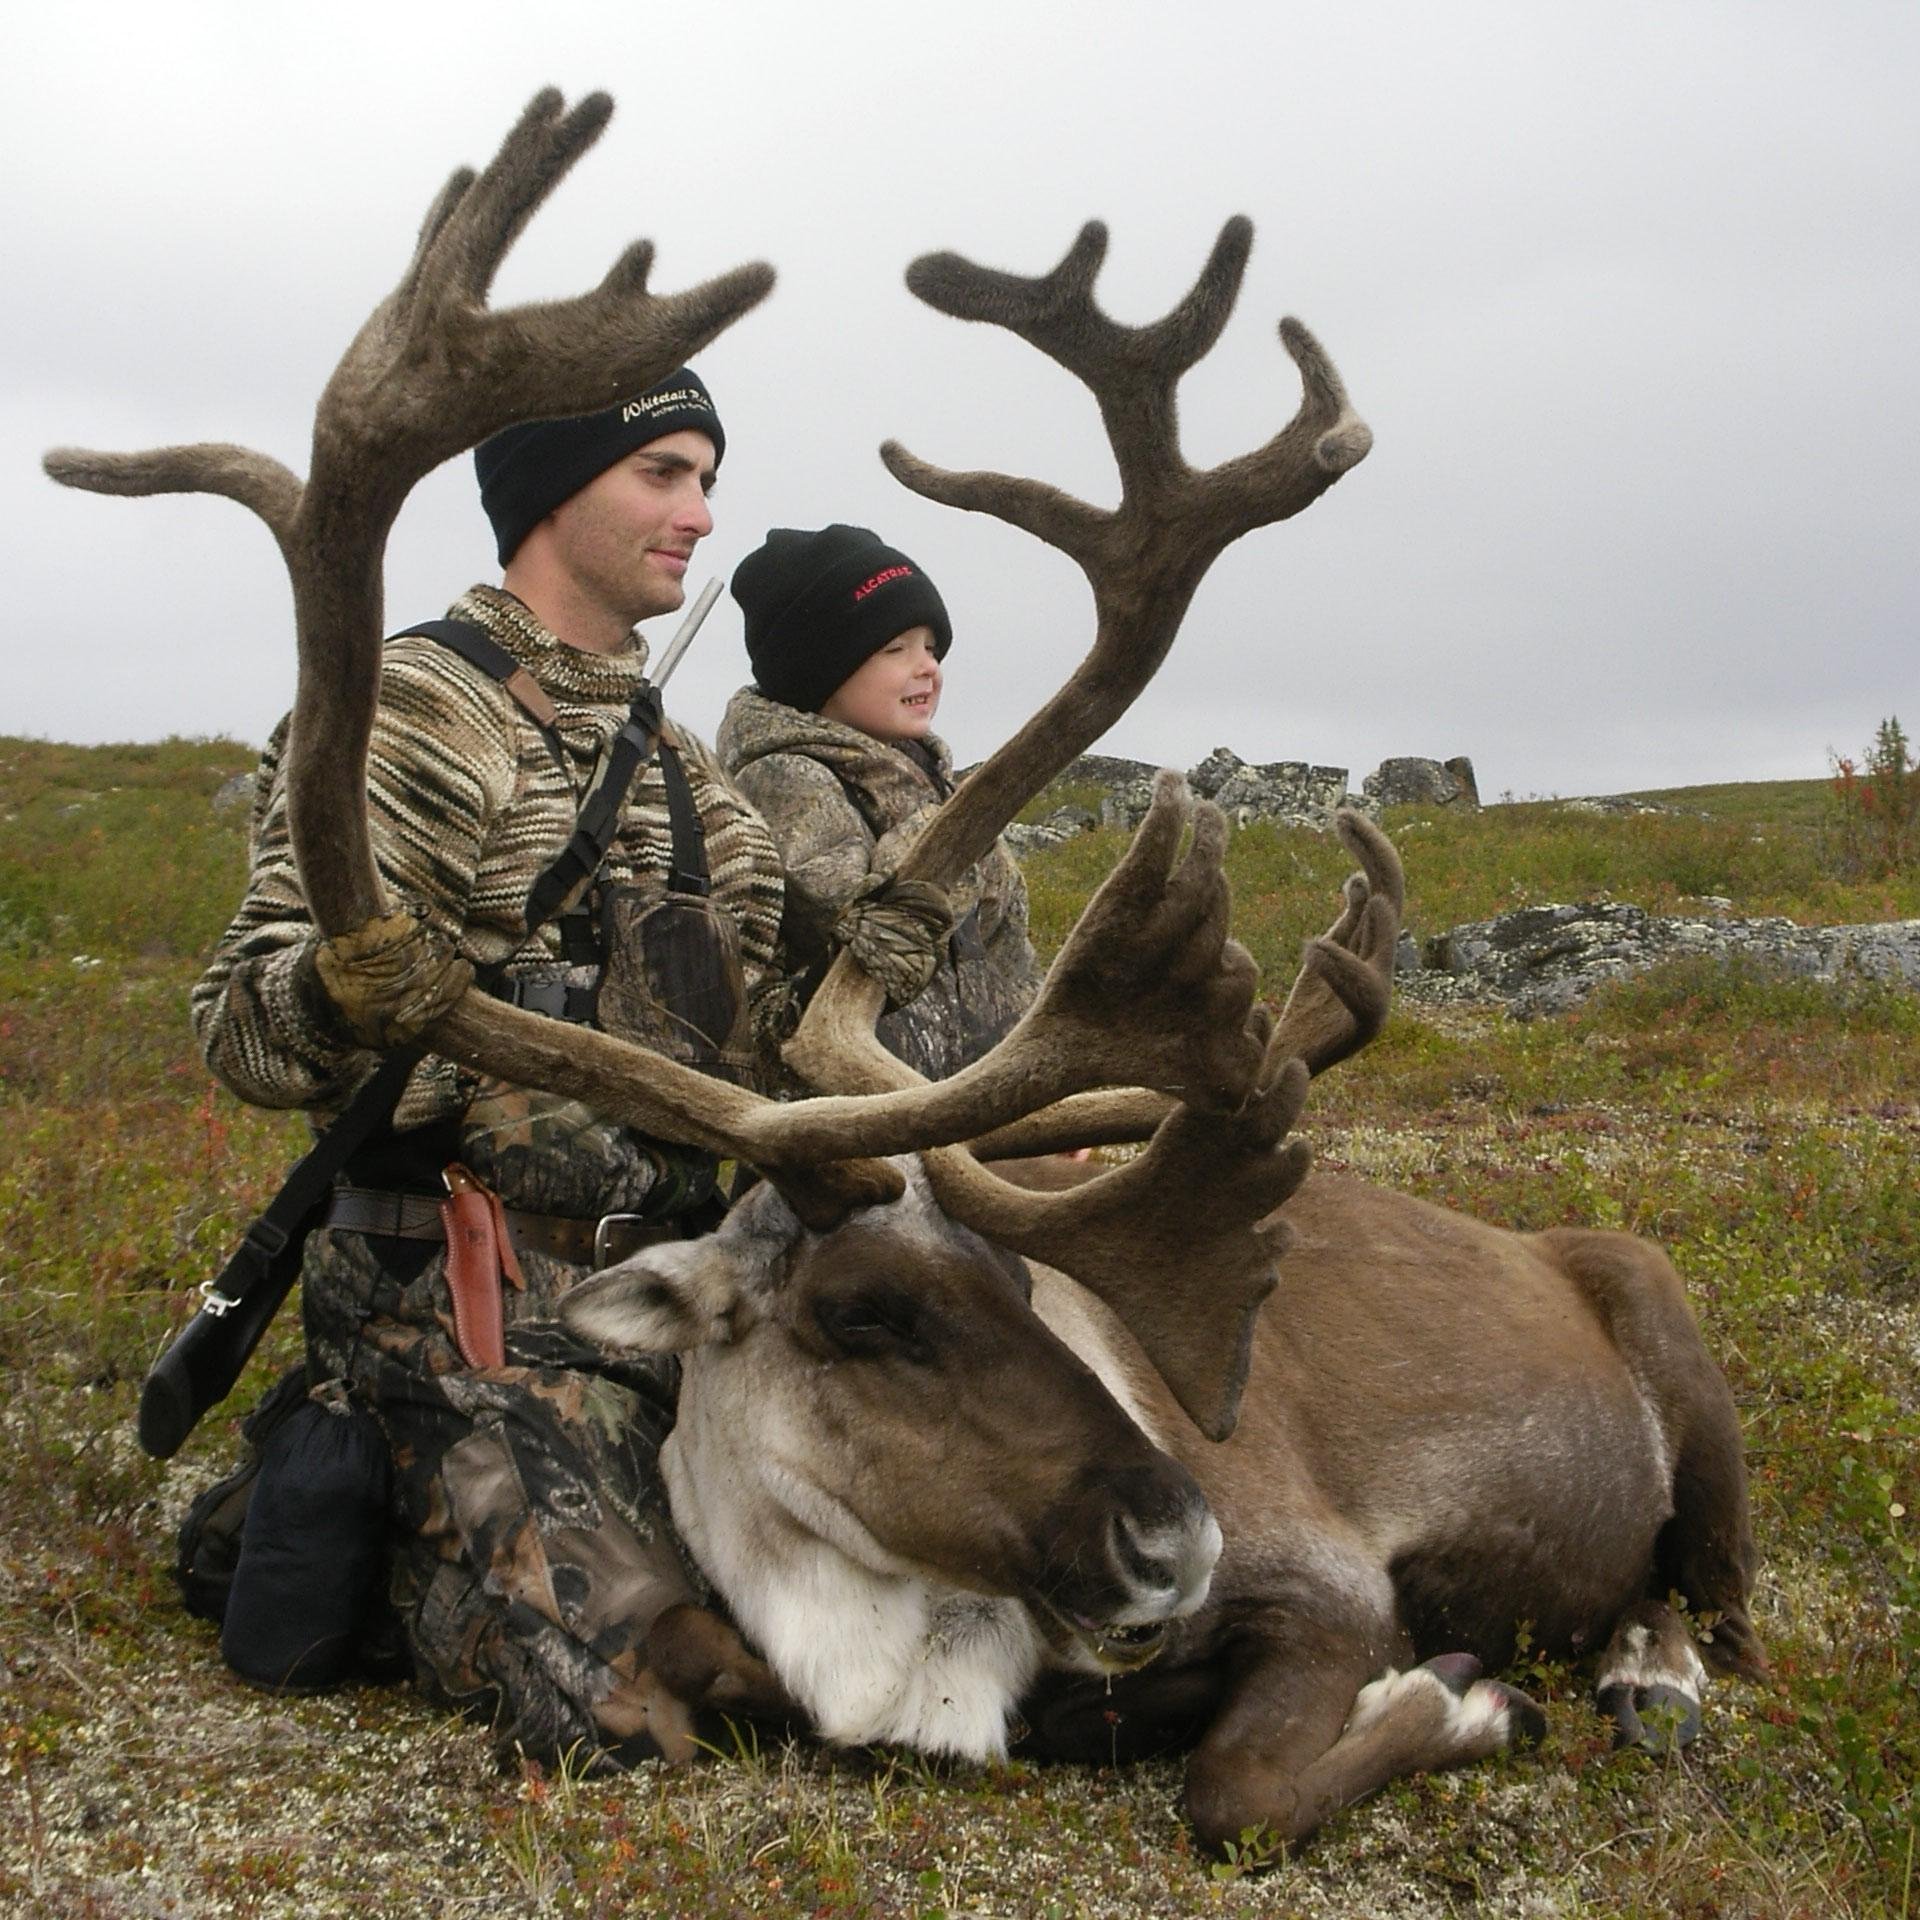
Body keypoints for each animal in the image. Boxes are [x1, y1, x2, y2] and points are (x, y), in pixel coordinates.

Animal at [45, 88, 1765, 1853]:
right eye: (871, 1317)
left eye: (1029, 1286)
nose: (1177, 1538)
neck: (892, 1644)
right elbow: (688, 1663)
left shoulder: (1331, 1573)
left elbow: (1241, 1787)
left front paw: (1462, 1694)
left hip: (1674, 1349)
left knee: (1710, 1590)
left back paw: (1653, 1676)